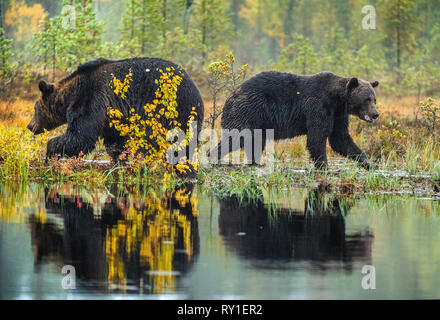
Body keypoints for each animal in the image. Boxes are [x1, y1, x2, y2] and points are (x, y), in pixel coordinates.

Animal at [27, 56, 205, 161]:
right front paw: (118, 157)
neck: (71, 94)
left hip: (175, 108)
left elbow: (81, 136)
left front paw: (50, 151)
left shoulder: (90, 99)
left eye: (35, 109)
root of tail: (198, 92)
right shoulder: (111, 113)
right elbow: (115, 139)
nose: (30, 126)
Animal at [211, 71, 380, 169]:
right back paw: (214, 158)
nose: (376, 114)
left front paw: (368, 163)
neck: (337, 100)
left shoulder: (338, 115)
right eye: (366, 99)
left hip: (258, 122)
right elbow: (317, 137)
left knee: (256, 141)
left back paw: (255, 162)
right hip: (249, 110)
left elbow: (341, 139)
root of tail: (230, 95)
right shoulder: (318, 107)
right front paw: (324, 166)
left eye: (374, 99)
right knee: (236, 136)